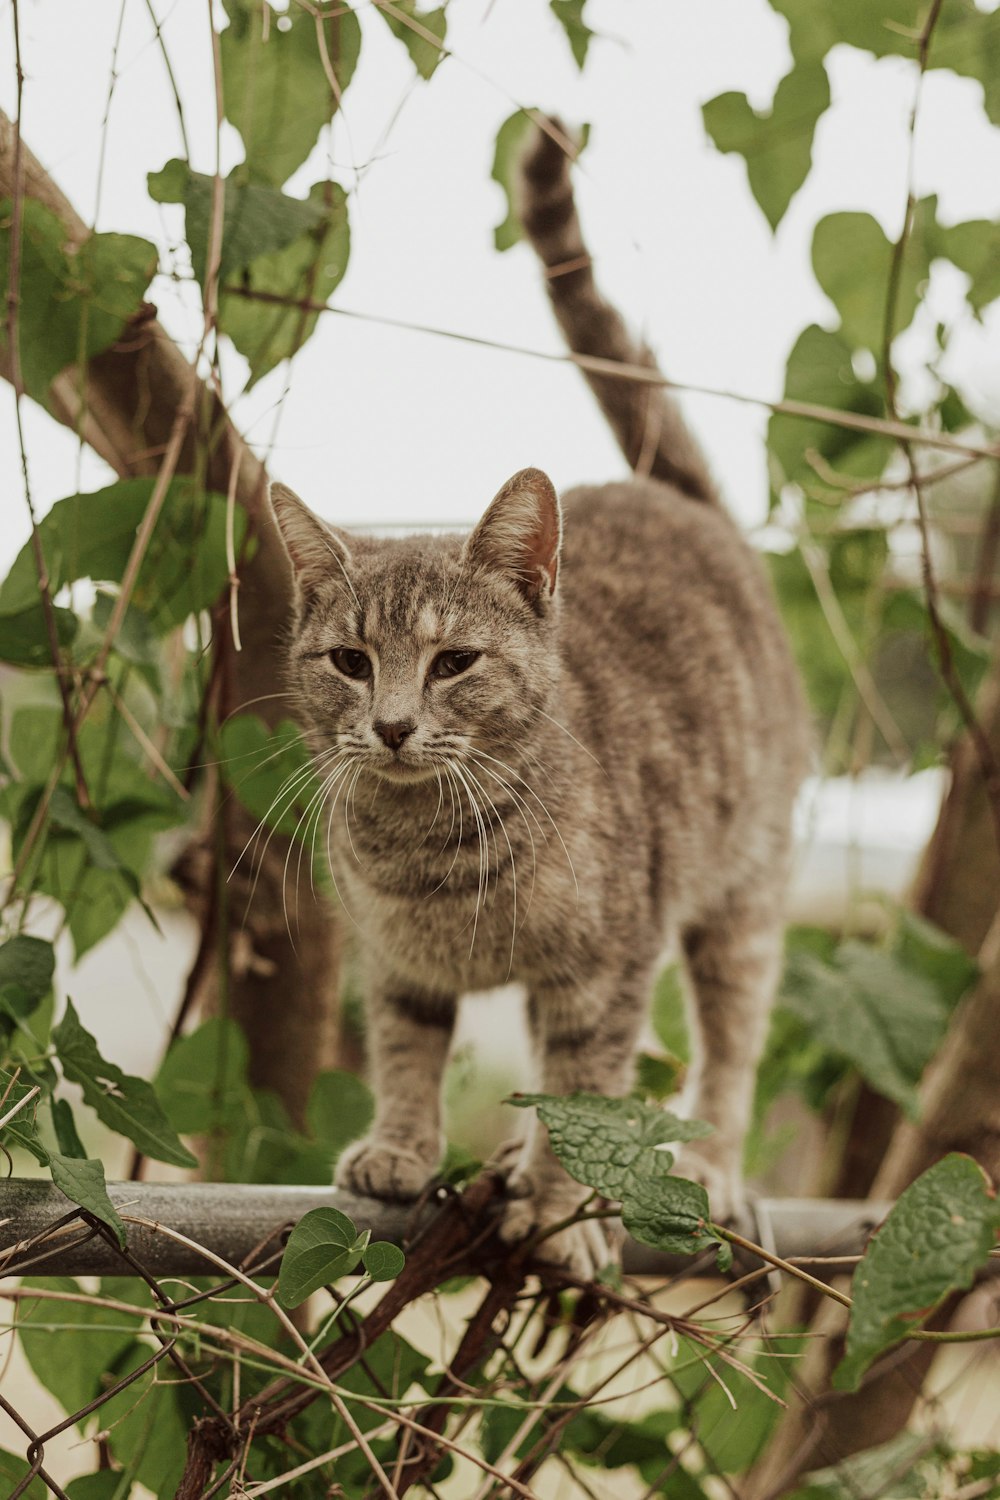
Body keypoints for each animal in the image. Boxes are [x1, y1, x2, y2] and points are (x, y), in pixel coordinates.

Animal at [268, 120, 815, 1278]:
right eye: (349, 661)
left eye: (452, 663)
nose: (391, 725)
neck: (431, 853)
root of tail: (679, 501)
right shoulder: (396, 965)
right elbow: (406, 1051)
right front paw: (401, 1147)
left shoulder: (606, 970)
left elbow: (588, 1095)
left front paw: (566, 1211)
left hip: (739, 904)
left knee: (727, 1047)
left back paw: (707, 1165)